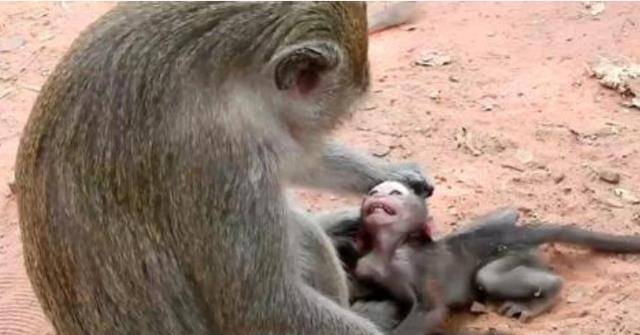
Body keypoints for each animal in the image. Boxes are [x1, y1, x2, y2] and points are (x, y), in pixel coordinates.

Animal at [352, 182, 640, 334]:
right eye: (375, 192)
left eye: (395, 193)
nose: (376, 194)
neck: (387, 251)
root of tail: (514, 233)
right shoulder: (366, 266)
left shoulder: (414, 265)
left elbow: (431, 309)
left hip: (517, 253)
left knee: (487, 275)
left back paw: (543, 295)